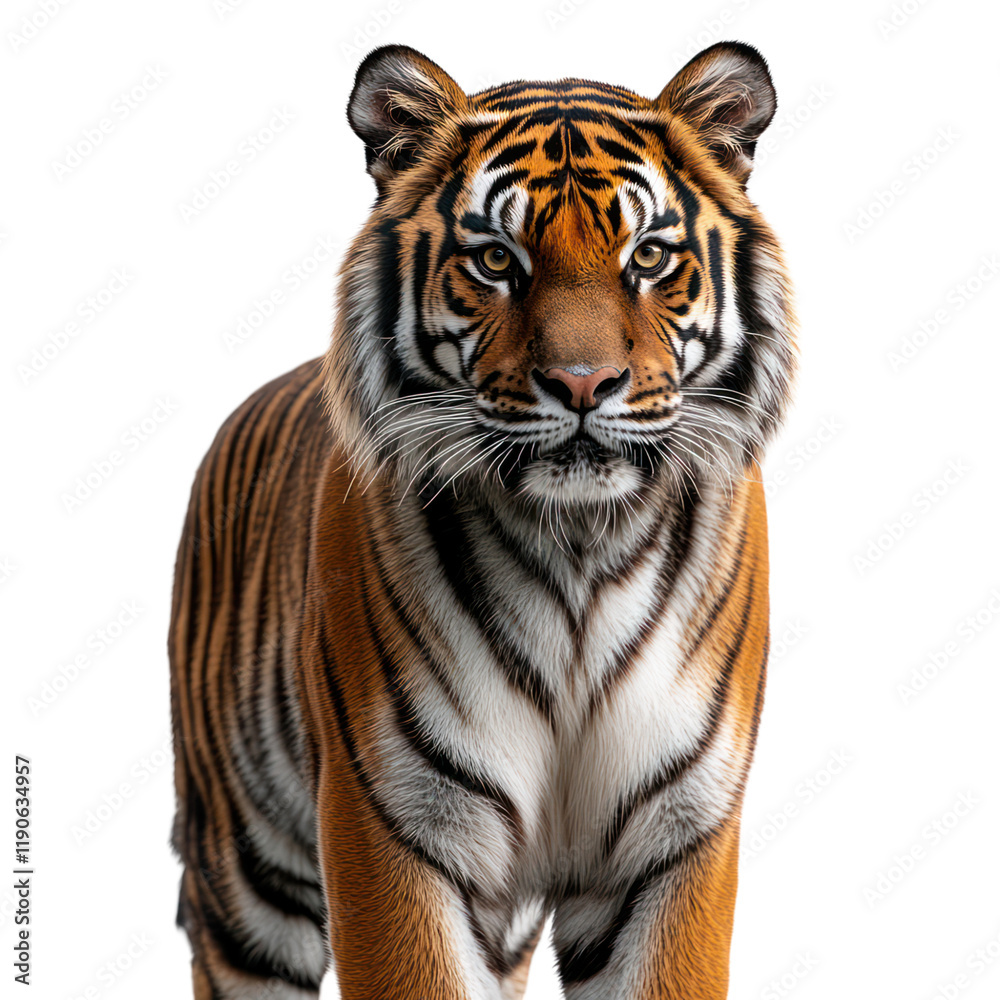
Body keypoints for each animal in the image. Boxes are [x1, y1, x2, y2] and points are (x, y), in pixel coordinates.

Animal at [169, 40, 796, 1000]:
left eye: (649, 256)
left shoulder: (677, 838)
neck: (579, 548)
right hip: (244, 870)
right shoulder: (391, 824)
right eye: (498, 261)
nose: (582, 384)